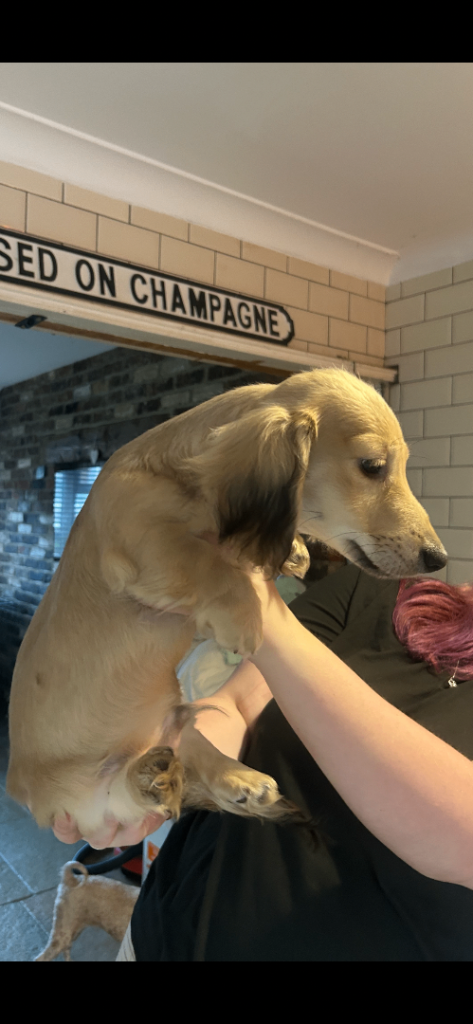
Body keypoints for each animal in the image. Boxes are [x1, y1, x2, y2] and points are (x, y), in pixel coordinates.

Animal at [6, 368, 447, 843]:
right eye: (372, 466)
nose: (438, 559)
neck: (177, 474)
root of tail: (26, 793)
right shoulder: (144, 537)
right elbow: (208, 563)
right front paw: (245, 614)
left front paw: (293, 550)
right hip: (90, 803)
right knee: (128, 793)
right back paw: (152, 777)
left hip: (172, 725)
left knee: (192, 750)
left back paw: (235, 778)